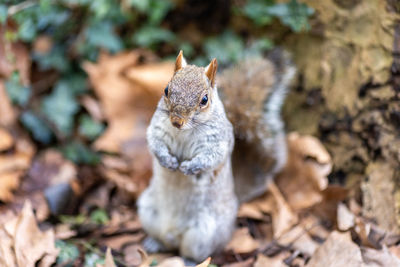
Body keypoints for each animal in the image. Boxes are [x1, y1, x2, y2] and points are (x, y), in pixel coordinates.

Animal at [138, 49, 296, 262]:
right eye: (166, 90)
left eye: (204, 100)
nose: (176, 121)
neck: (183, 132)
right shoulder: (157, 128)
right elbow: (155, 143)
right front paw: (167, 160)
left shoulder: (217, 141)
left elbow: (211, 157)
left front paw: (189, 167)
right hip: (148, 211)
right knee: (165, 240)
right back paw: (155, 242)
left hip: (203, 234)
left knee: (195, 253)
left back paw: (188, 260)